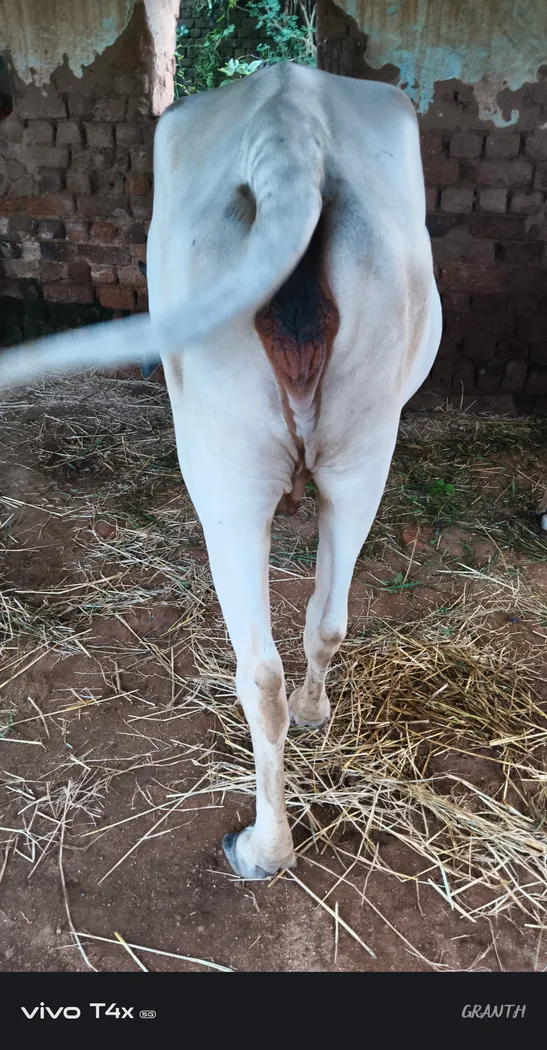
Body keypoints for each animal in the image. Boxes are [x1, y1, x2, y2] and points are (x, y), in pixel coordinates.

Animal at [0, 62, 442, 879]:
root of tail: (289, 134)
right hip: (363, 457)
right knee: (325, 622)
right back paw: (312, 717)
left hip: (224, 474)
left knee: (259, 674)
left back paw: (263, 850)